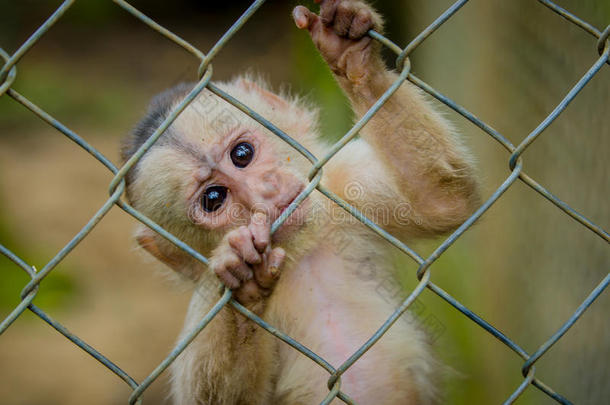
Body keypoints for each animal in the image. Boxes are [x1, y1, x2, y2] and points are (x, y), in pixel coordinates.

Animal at [120, 0, 480, 404]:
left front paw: (351, 56)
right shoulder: (206, 296)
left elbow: (443, 202)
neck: (300, 255)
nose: (263, 191)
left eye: (242, 154)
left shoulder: (339, 183)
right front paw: (243, 273)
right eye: (214, 198)